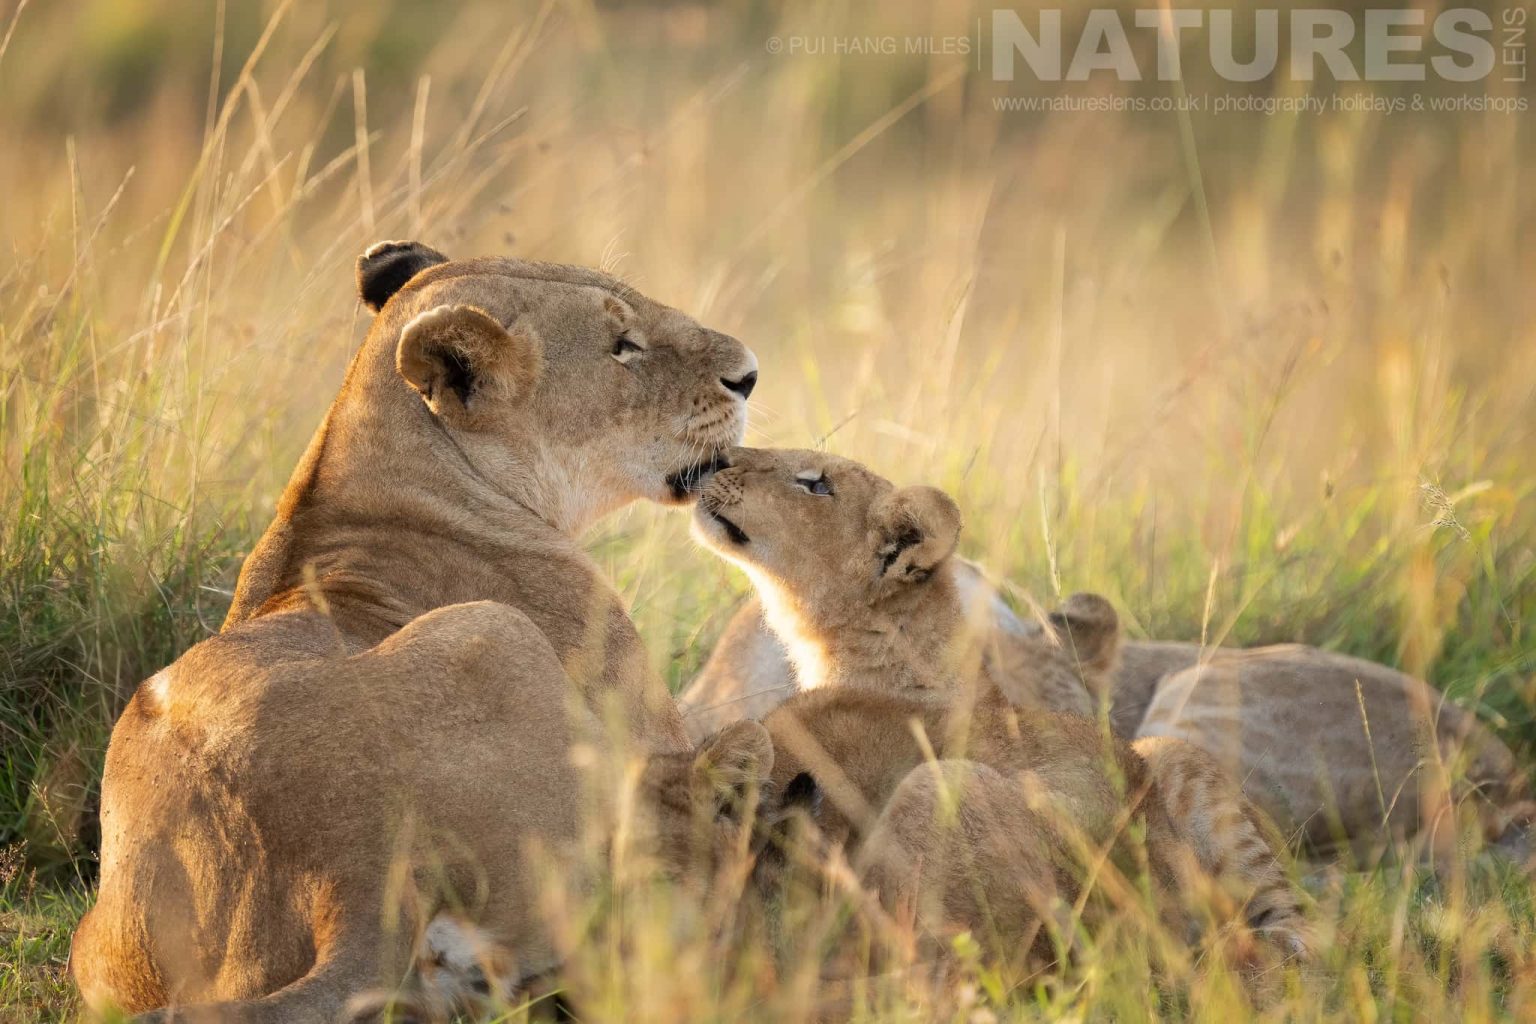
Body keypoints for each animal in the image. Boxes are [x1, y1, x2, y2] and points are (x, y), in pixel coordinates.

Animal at [71, 241, 763, 1022]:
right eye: (623, 346)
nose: (749, 375)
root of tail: (352, 869)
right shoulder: (639, 708)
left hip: (95, 948)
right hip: (494, 631)